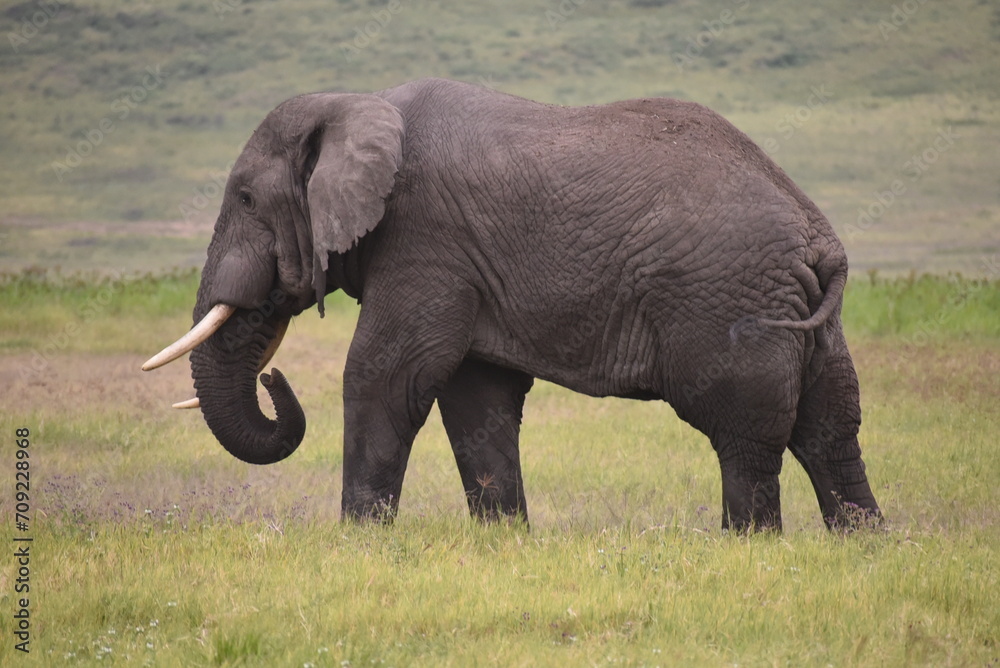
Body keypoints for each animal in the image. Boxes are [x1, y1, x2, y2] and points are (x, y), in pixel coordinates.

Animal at [144, 77, 881, 532]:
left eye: (244, 198)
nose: (274, 375)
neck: (358, 103)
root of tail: (818, 235)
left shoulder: (424, 240)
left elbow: (387, 376)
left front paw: (359, 539)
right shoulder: (463, 263)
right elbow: (476, 397)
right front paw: (503, 540)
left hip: (729, 303)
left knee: (744, 433)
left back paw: (748, 546)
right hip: (802, 313)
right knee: (829, 426)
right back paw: (863, 542)